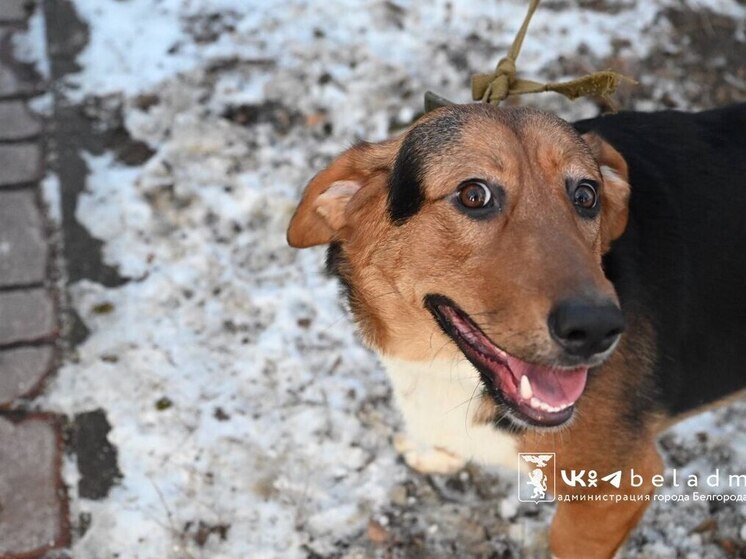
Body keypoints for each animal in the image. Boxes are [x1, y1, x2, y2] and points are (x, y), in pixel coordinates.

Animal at [284, 103, 744, 556]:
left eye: (586, 195)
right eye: (474, 195)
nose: (597, 328)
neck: (445, 367)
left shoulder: (613, 491)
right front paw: (436, 454)